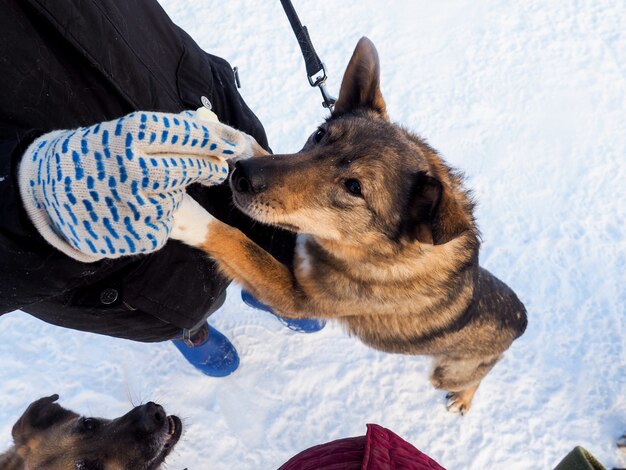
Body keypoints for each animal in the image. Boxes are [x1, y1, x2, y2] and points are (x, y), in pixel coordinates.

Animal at [172, 36, 528, 414]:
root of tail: (523, 320)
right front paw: (224, 135)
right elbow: (257, 148)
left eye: (354, 187)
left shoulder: (295, 298)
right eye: (319, 135)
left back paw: (462, 399)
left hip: (444, 373)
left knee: (477, 375)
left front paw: (181, 213)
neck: (366, 249)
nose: (241, 178)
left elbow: (234, 239)